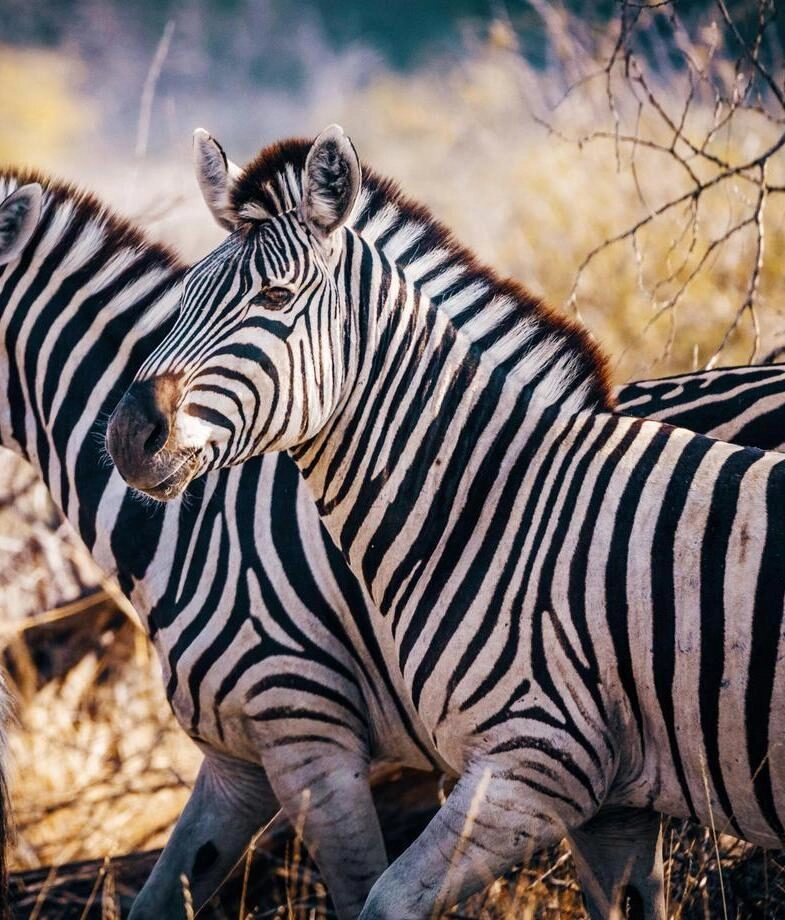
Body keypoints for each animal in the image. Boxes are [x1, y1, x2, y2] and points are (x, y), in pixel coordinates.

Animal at [2, 156, 784, 920]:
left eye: (276, 299)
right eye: (184, 296)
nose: (128, 437)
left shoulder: (311, 730)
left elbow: (360, 893)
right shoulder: (237, 761)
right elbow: (164, 895)